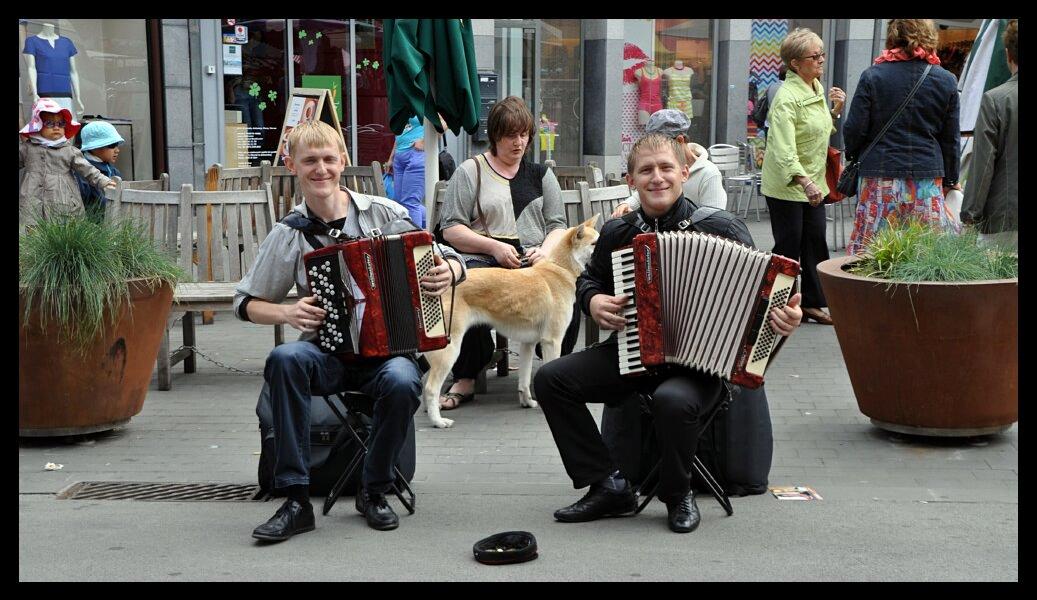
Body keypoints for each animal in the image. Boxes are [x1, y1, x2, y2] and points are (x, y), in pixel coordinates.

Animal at [421, 218, 601, 429]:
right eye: (594, 243)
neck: (560, 269)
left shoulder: (528, 344)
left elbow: (524, 381)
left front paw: (527, 402)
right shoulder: (552, 342)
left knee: (424, 385)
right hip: (450, 352)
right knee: (431, 388)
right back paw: (438, 421)